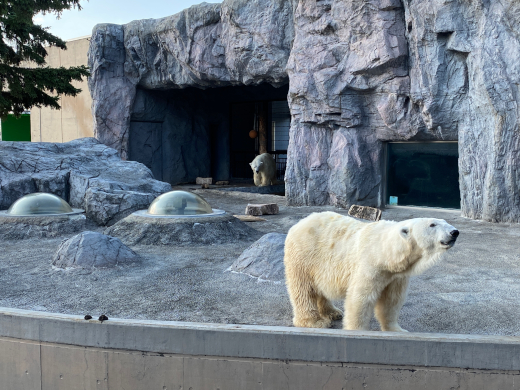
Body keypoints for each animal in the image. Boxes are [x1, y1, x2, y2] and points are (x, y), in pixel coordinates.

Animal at [284, 212, 460, 330]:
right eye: (432, 224)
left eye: (444, 221)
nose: (454, 232)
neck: (387, 252)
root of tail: (299, 223)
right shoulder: (370, 265)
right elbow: (360, 299)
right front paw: (357, 330)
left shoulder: (396, 276)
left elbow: (391, 301)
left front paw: (396, 330)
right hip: (304, 255)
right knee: (303, 289)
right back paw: (315, 321)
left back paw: (333, 312)